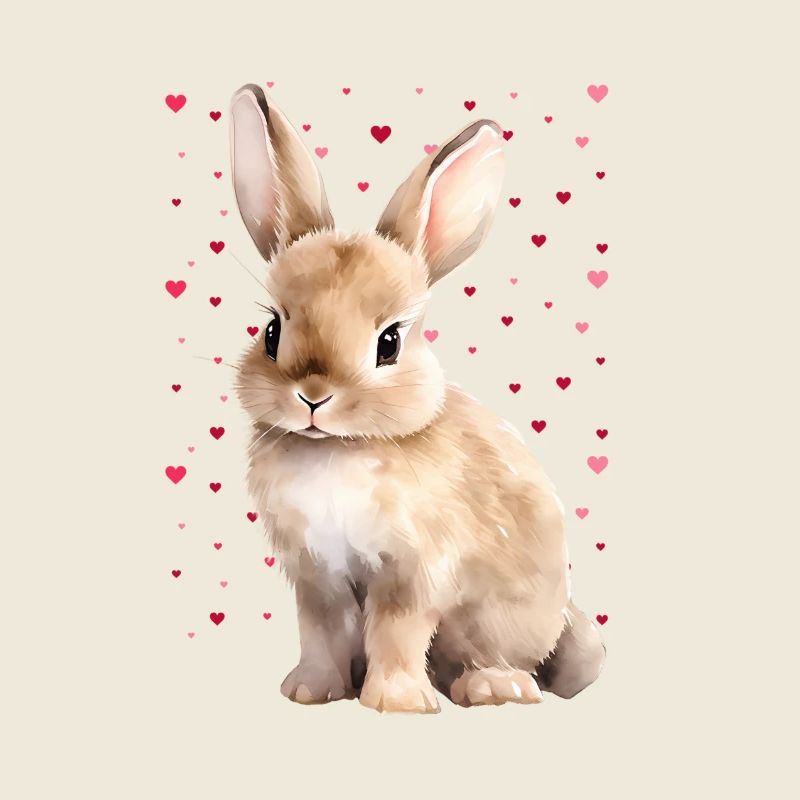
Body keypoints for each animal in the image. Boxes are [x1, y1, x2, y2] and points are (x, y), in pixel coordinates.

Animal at [230, 83, 605, 713]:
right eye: (272, 331)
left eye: (390, 342)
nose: (312, 396)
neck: (337, 449)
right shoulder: (317, 575)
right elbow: (322, 632)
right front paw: (309, 691)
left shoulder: (414, 569)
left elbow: (397, 629)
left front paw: (396, 702)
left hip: (497, 620)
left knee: (500, 661)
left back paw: (492, 686)